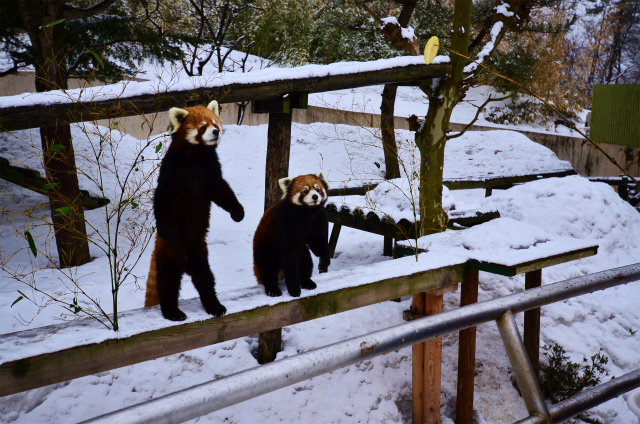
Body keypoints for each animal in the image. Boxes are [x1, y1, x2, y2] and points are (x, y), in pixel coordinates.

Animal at [145, 100, 245, 322]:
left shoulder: (211, 172)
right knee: (168, 281)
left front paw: (238, 212)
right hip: (169, 254)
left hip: (200, 253)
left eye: (215, 123)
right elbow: (162, 199)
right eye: (202, 127)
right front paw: (168, 230)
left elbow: (222, 191)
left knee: (205, 279)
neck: (197, 157)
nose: (216, 132)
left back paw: (214, 305)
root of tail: (186, 263)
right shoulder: (171, 172)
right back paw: (172, 311)